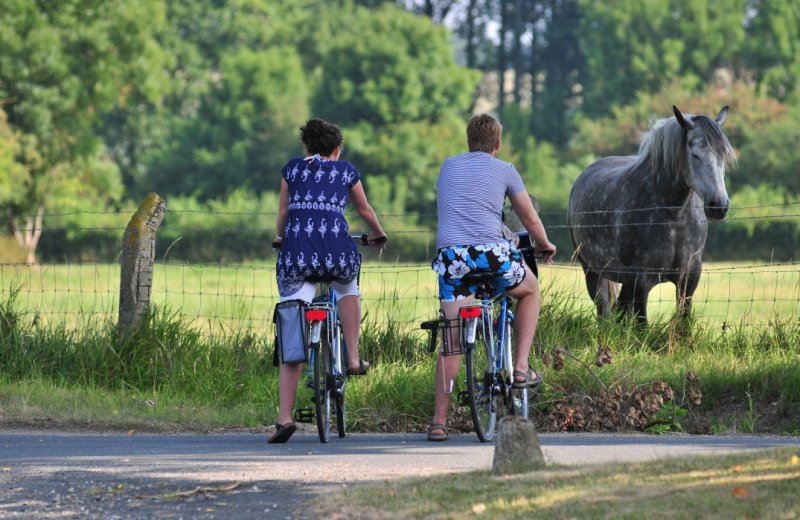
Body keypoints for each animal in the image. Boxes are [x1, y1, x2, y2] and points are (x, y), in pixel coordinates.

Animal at [568, 105, 736, 324]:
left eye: (723, 155)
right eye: (695, 154)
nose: (718, 206)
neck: (674, 218)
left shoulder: (689, 277)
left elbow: (682, 321)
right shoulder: (642, 279)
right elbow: (642, 323)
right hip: (592, 271)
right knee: (603, 311)